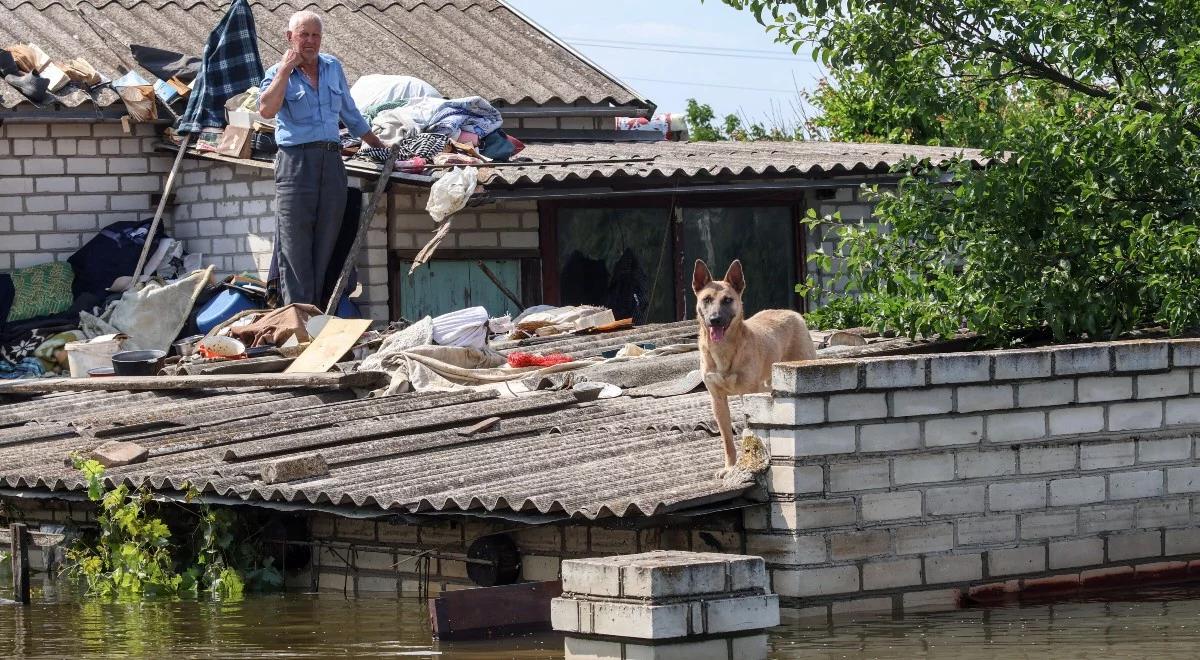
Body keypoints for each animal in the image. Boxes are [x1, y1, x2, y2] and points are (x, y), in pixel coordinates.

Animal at [691, 259, 820, 475]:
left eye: (727, 300)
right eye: (707, 299)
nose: (715, 319)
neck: (723, 350)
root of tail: (791, 312)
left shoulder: (748, 394)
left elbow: (747, 433)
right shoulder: (717, 400)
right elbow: (727, 440)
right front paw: (729, 467)